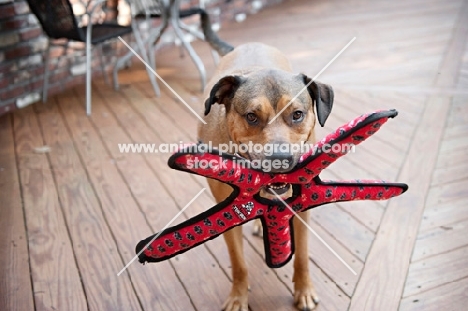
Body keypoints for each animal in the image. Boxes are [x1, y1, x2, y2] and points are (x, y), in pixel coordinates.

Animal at [199, 11, 334, 310]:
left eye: (297, 114)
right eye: (251, 116)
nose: (280, 159)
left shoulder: (302, 208)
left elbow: (302, 256)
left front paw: (304, 289)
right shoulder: (225, 214)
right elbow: (238, 263)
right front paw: (238, 296)